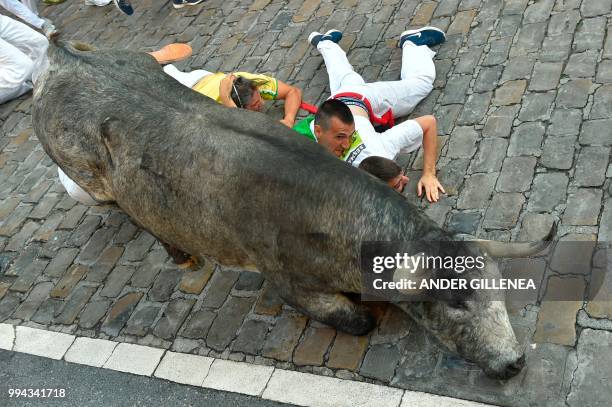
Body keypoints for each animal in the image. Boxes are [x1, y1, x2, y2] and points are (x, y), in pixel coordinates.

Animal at [31, 43, 552, 380]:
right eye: (456, 302)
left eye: (498, 288)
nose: (516, 362)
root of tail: (61, 55)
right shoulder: (287, 281)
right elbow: (360, 320)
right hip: (88, 179)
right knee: (129, 210)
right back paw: (181, 254)